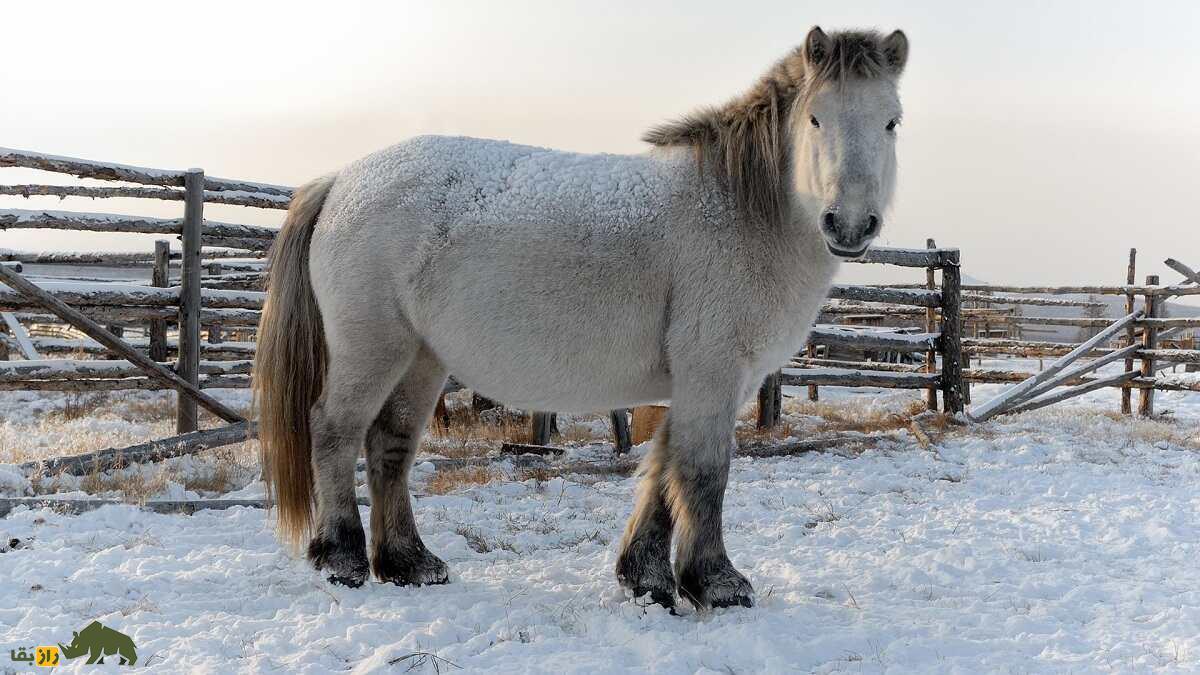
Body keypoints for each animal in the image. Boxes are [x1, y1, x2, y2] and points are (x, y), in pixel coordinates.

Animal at [255, 24, 907, 610]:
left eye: (891, 121)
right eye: (816, 118)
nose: (849, 224)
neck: (738, 210)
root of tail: (342, 180)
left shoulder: (700, 383)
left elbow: (663, 470)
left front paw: (647, 579)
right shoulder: (714, 374)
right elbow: (702, 472)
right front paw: (716, 583)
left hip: (421, 357)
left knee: (390, 443)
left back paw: (410, 563)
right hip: (373, 349)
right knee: (335, 431)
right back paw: (341, 558)